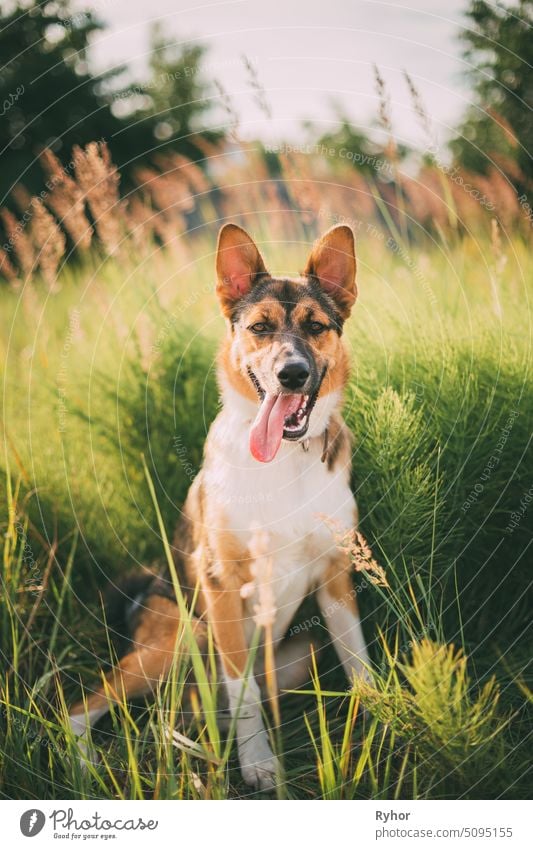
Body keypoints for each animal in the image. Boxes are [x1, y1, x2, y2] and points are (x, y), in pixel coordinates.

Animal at [68, 224, 370, 788]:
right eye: (260, 327)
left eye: (316, 326)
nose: (292, 374)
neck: (283, 459)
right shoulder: (222, 583)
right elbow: (242, 690)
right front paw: (259, 764)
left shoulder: (335, 574)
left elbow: (360, 663)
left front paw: (394, 718)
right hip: (180, 638)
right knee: (78, 706)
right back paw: (85, 765)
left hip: (296, 656)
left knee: (190, 713)